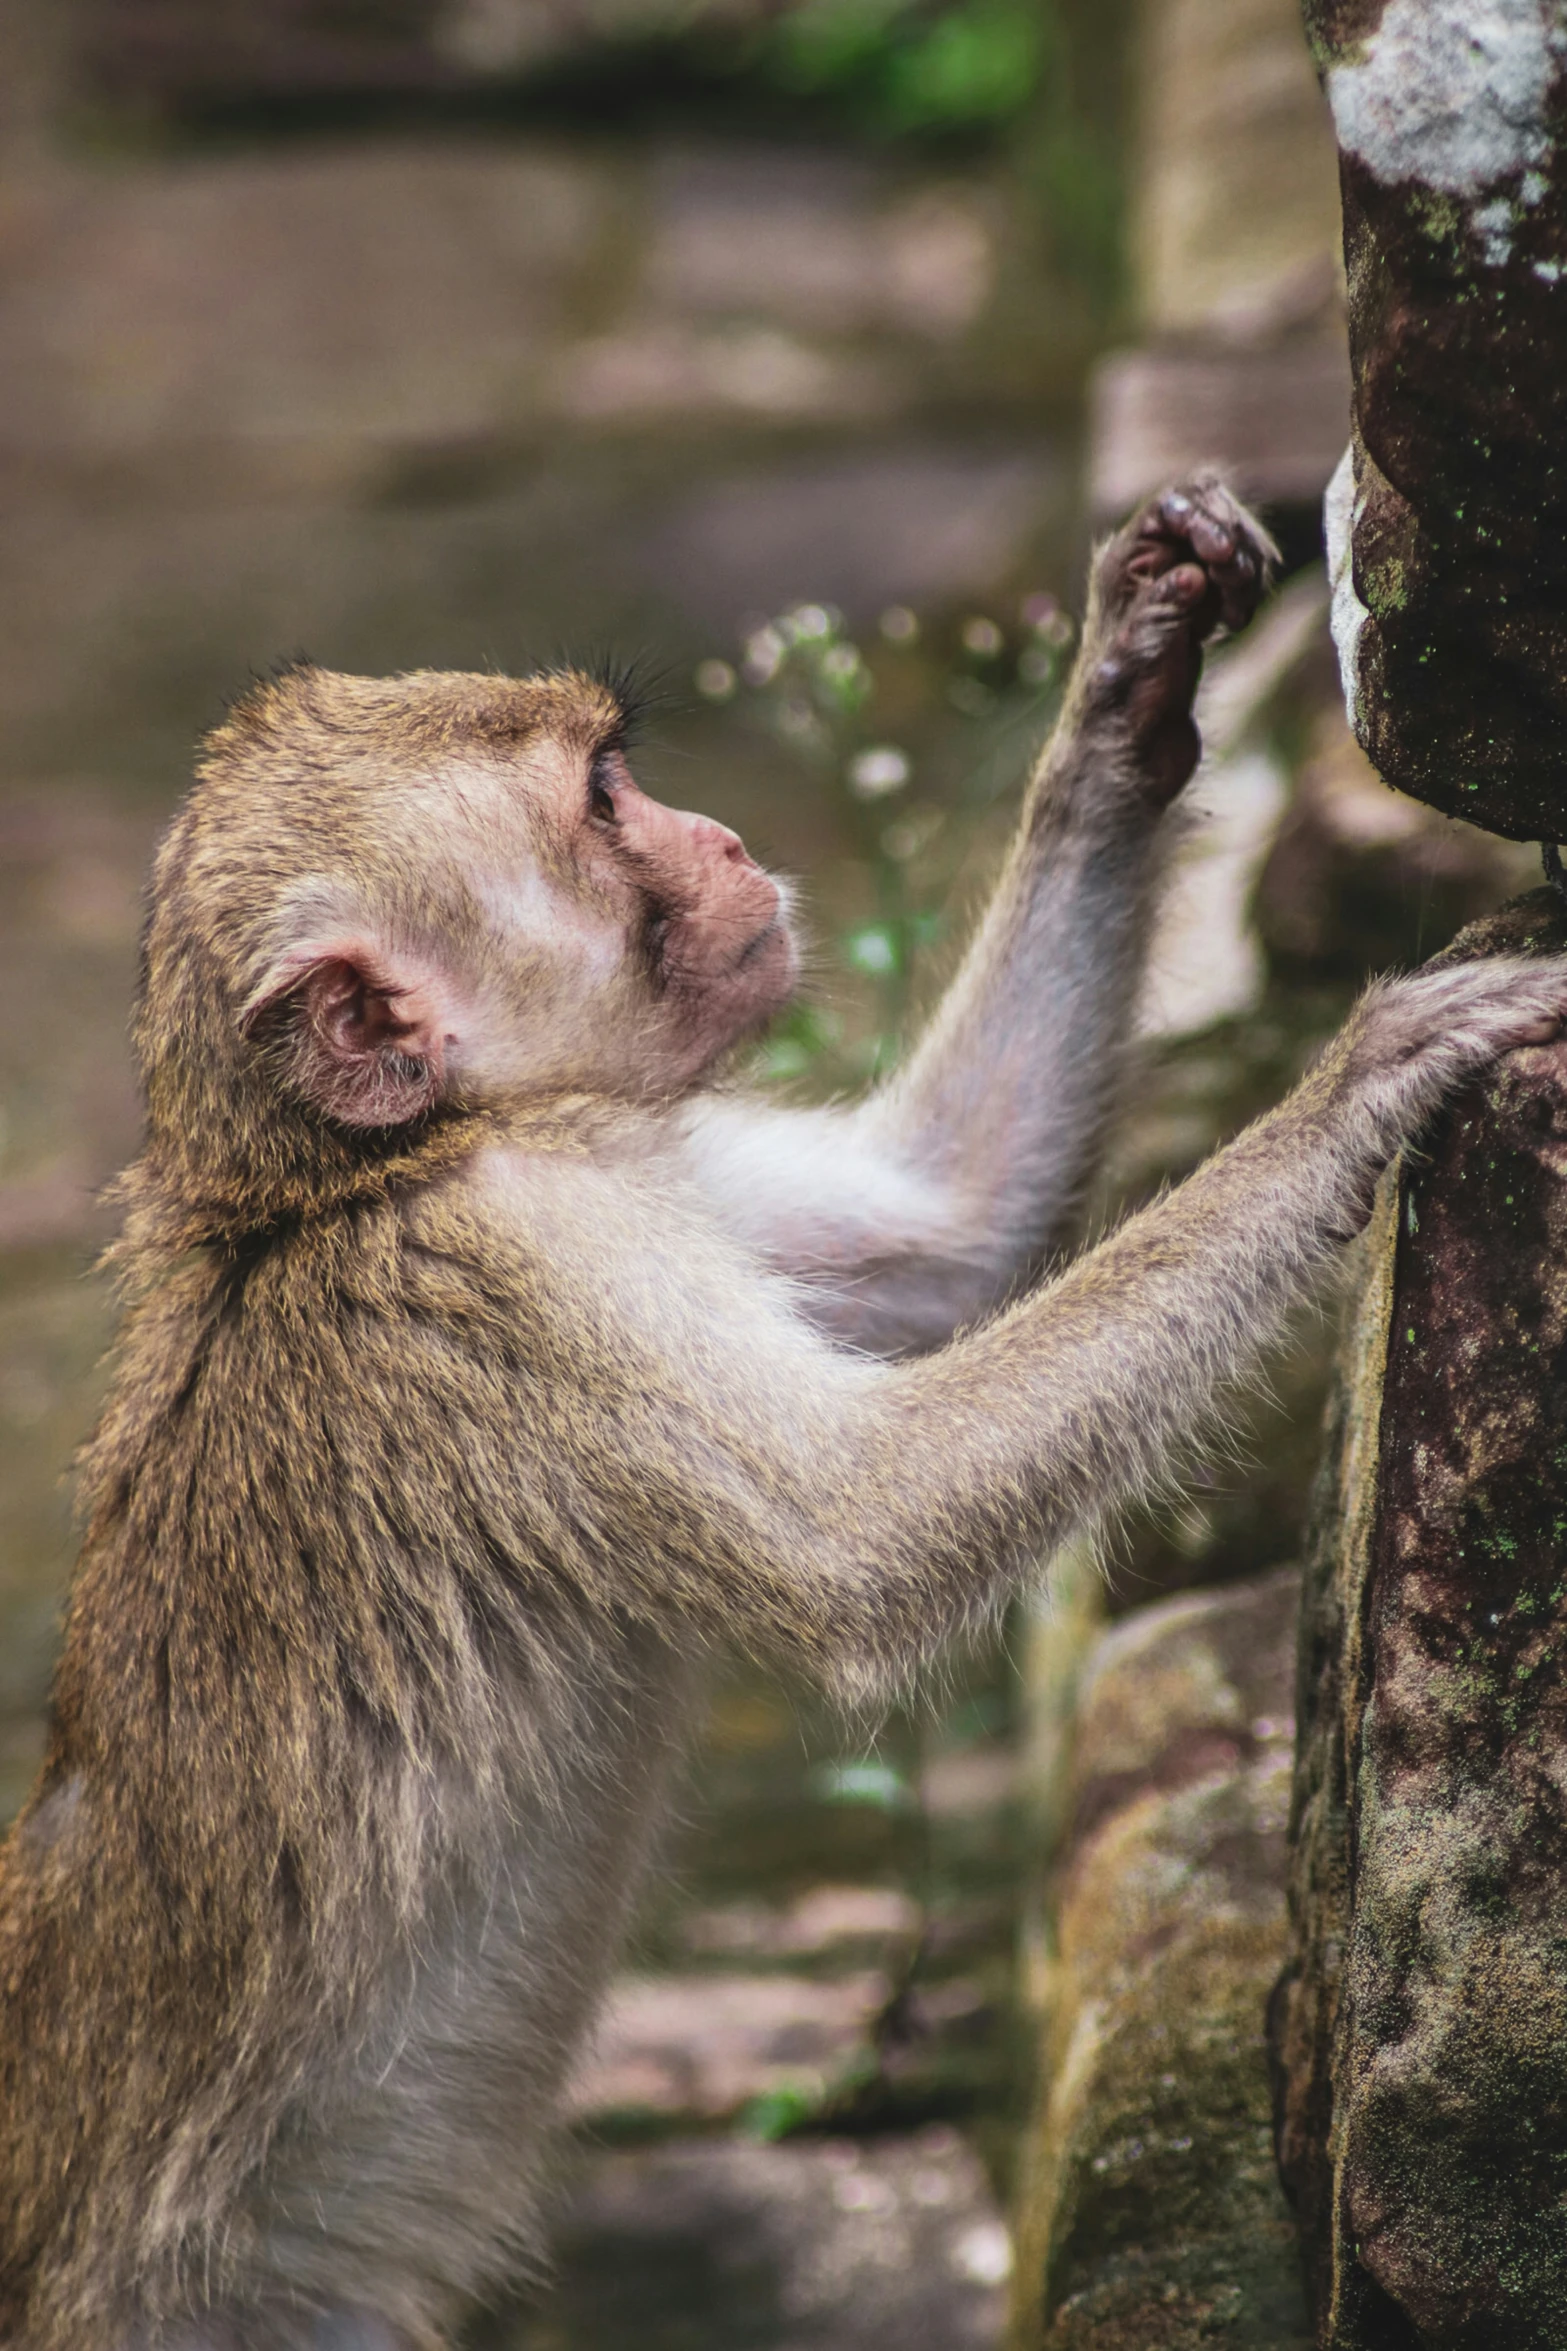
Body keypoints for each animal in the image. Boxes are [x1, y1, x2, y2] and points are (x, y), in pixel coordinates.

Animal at [3, 477, 1567, 2351]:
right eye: (606, 802)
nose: (726, 840)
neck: (352, 1173)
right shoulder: (538, 1271)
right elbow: (863, 1532)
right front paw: (1356, 1077)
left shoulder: (630, 1172)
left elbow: (945, 1219)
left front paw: (1126, 683)